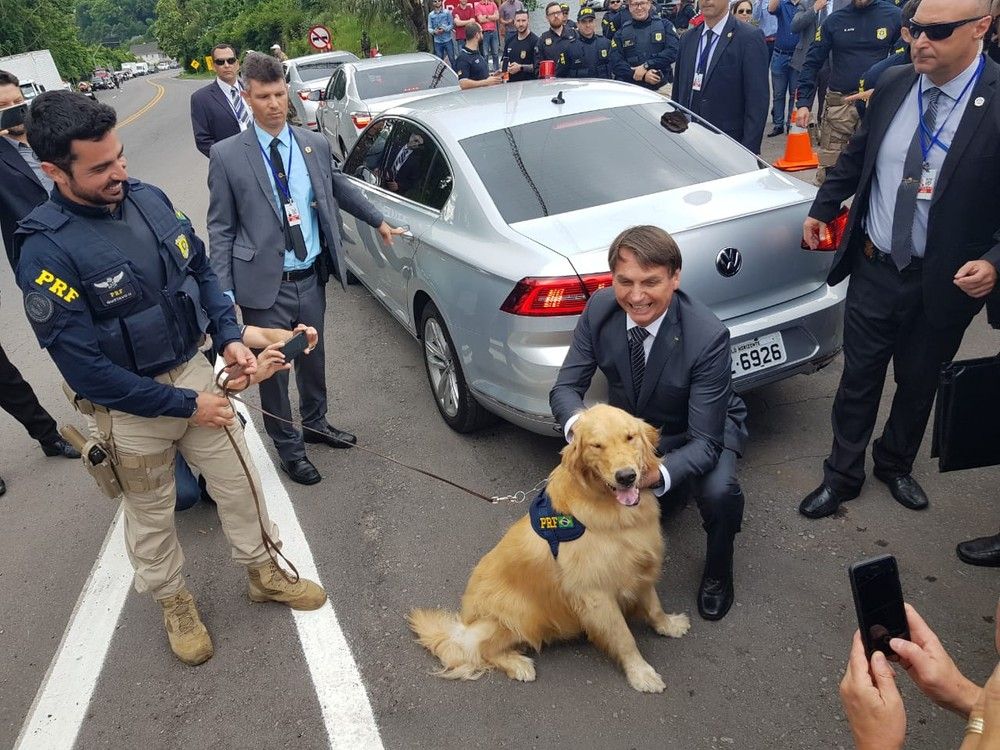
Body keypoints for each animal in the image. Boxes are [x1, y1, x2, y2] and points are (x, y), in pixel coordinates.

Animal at [410, 406, 692, 692]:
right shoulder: (596, 594)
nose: (626, 476)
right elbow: (624, 637)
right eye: (597, 445)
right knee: (480, 650)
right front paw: (641, 673)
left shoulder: (639, 566)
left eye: (630, 437)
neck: (612, 511)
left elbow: (654, 606)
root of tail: (464, 627)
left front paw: (669, 624)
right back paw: (518, 664)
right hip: (517, 614)